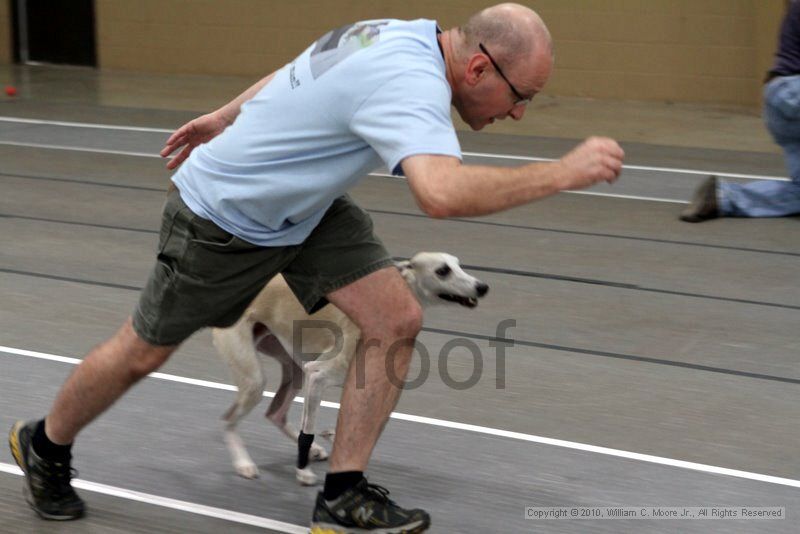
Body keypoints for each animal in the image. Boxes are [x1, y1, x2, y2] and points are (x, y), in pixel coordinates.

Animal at [212, 252, 488, 486]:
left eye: (458, 264)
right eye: (442, 270)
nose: (482, 287)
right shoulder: (317, 374)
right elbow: (307, 431)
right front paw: (304, 472)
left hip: (293, 369)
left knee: (275, 414)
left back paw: (312, 450)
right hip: (255, 378)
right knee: (228, 419)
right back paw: (244, 463)